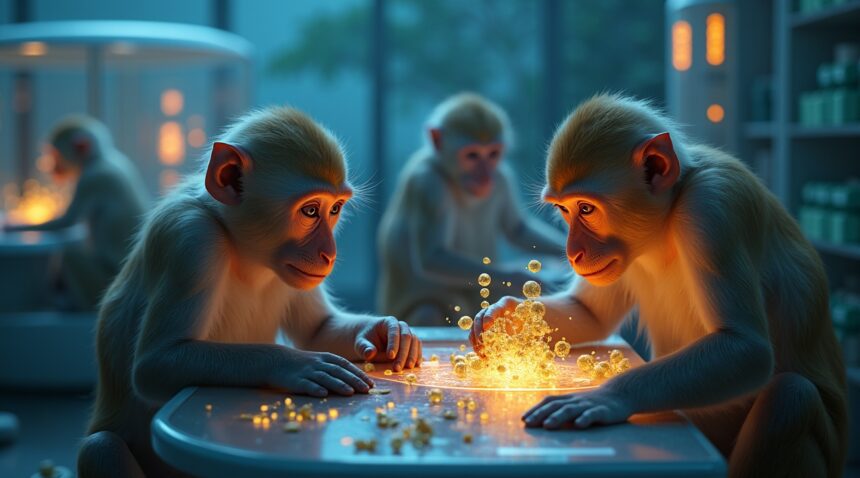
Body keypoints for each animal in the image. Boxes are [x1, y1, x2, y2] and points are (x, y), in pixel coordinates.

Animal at [4, 116, 149, 309]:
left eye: (55, 155)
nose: (47, 166)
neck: (98, 158)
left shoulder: (90, 180)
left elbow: (67, 221)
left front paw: (13, 226)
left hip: (99, 284)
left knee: (69, 254)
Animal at [76, 107, 423, 478]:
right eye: (310, 210)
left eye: (334, 209)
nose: (329, 255)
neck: (243, 251)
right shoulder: (191, 240)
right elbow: (155, 363)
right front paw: (294, 363)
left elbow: (317, 330)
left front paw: (388, 332)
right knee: (102, 446)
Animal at [378, 93, 567, 326]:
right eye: (472, 155)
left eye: (493, 154)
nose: (484, 177)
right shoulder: (428, 184)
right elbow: (433, 255)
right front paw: (519, 278)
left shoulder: (501, 176)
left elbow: (517, 228)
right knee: (428, 310)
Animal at [471, 94, 847, 477]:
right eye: (564, 210)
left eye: (586, 209)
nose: (573, 253)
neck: (668, 220)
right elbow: (591, 315)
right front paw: (502, 318)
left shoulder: (714, 206)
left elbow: (747, 347)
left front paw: (608, 396)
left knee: (791, 396)